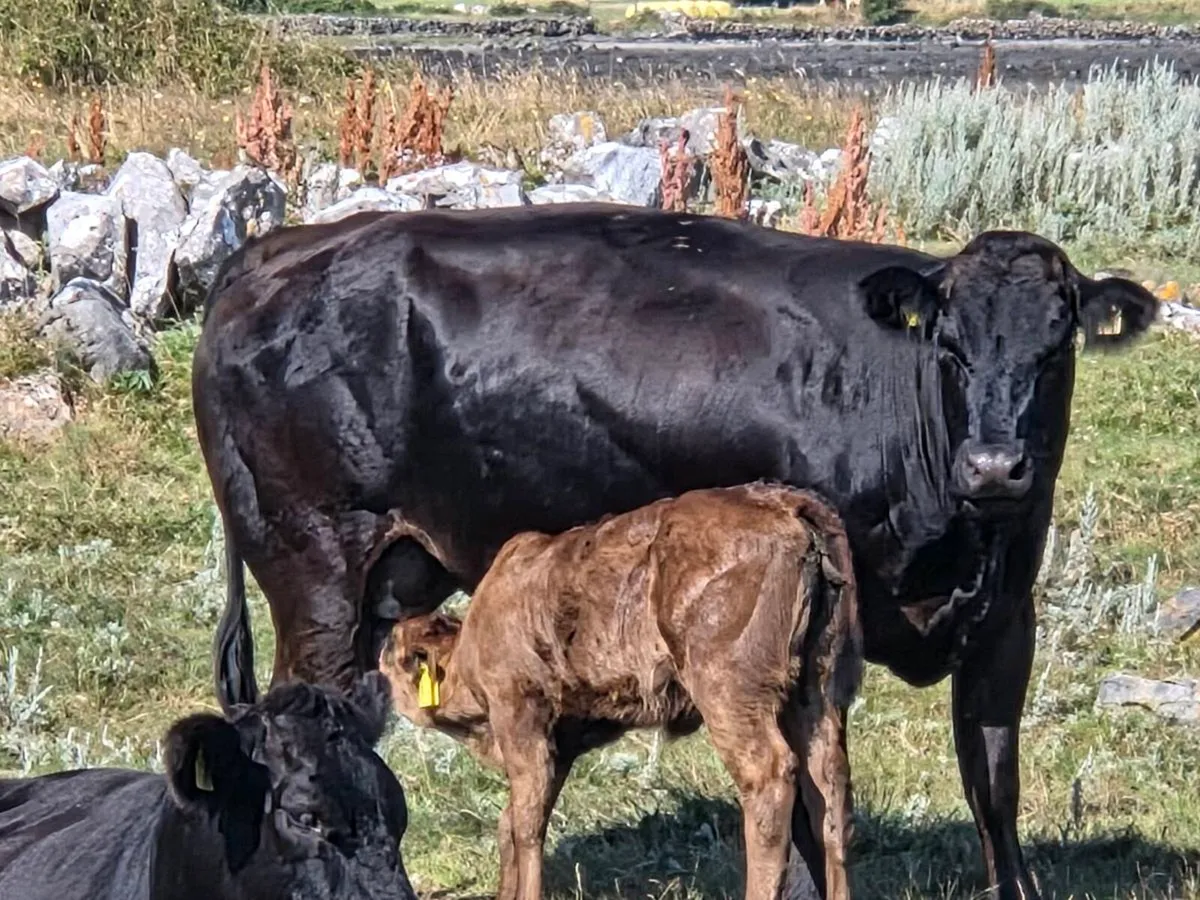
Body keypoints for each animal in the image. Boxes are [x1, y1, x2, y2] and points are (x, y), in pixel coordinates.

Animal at [379, 483, 862, 900]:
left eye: (394, 653)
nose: (380, 652)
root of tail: (786, 504)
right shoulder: (562, 743)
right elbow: (514, 817)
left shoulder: (521, 716)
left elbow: (526, 823)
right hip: (818, 692)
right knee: (830, 789)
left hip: (732, 695)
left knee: (769, 779)